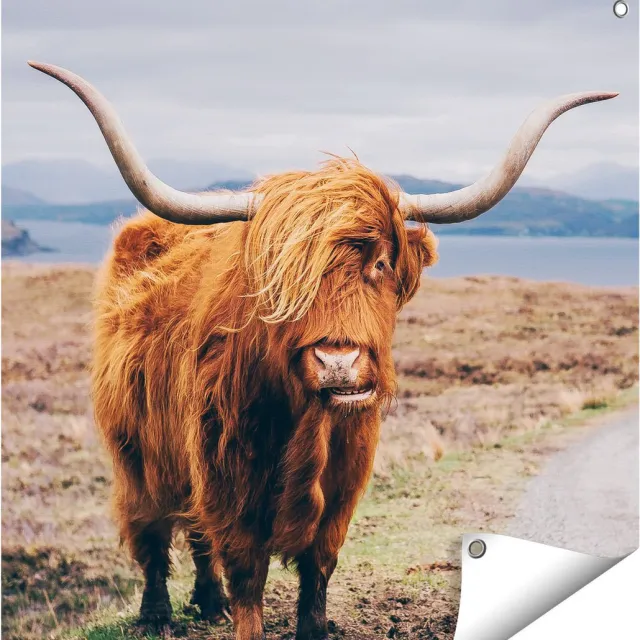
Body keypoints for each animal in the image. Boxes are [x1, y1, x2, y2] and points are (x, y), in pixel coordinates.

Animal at [28, 60, 616, 640]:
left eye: (380, 262)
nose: (338, 363)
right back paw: (156, 614)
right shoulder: (228, 478)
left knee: (194, 534)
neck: (305, 425)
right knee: (150, 526)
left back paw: (208, 602)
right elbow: (246, 575)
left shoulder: (342, 486)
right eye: (282, 276)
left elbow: (317, 570)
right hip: (134, 446)